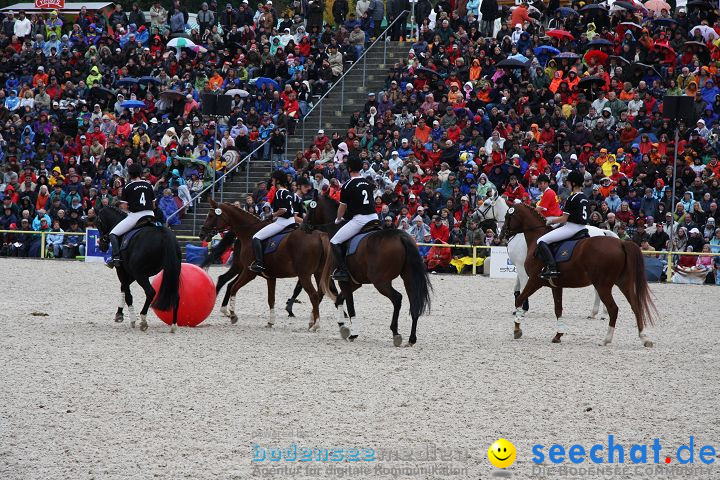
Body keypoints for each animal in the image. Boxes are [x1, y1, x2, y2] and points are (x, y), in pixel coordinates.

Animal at [96, 204, 181, 332]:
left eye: (98, 223)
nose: (102, 245)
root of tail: (163, 234)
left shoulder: (123, 271)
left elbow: (128, 294)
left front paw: (131, 319)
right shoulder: (132, 273)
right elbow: (123, 289)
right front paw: (119, 314)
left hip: (140, 275)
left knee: (150, 292)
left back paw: (143, 319)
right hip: (169, 272)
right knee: (175, 295)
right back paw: (173, 325)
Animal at [200, 199, 330, 330]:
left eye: (211, 216)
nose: (202, 233)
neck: (249, 232)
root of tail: (319, 235)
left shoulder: (249, 273)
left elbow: (234, 288)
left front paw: (233, 316)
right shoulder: (270, 277)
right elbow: (271, 299)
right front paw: (271, 321)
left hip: (304, 275)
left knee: (314, 295)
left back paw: (315, 324)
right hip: (317, 274)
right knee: (319, 294)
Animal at [310, 197, 434, 346]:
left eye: (310, 208)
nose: (303, 225)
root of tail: (401, 236)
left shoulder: (345, 282)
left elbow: (350, 307)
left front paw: (352, 333)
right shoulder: (354, 283)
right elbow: (339, 300)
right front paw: (342, 327)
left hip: (381, 282)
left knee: (397, 298)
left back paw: (395, 333)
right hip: (408, 279)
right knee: (413, 303)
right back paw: (411, 339)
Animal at [500, 204, 660, 346]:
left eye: (508, 216)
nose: (502, 234)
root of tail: (620, 243)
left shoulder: (534, 280)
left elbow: (520, 299)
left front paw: (517, 328)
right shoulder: (556, 286)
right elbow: (558, 309)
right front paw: (558, 335)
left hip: (603, 285)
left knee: (613, 309)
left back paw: (606, 338)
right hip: (623, 283)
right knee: (635, 306)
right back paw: (644, 338)